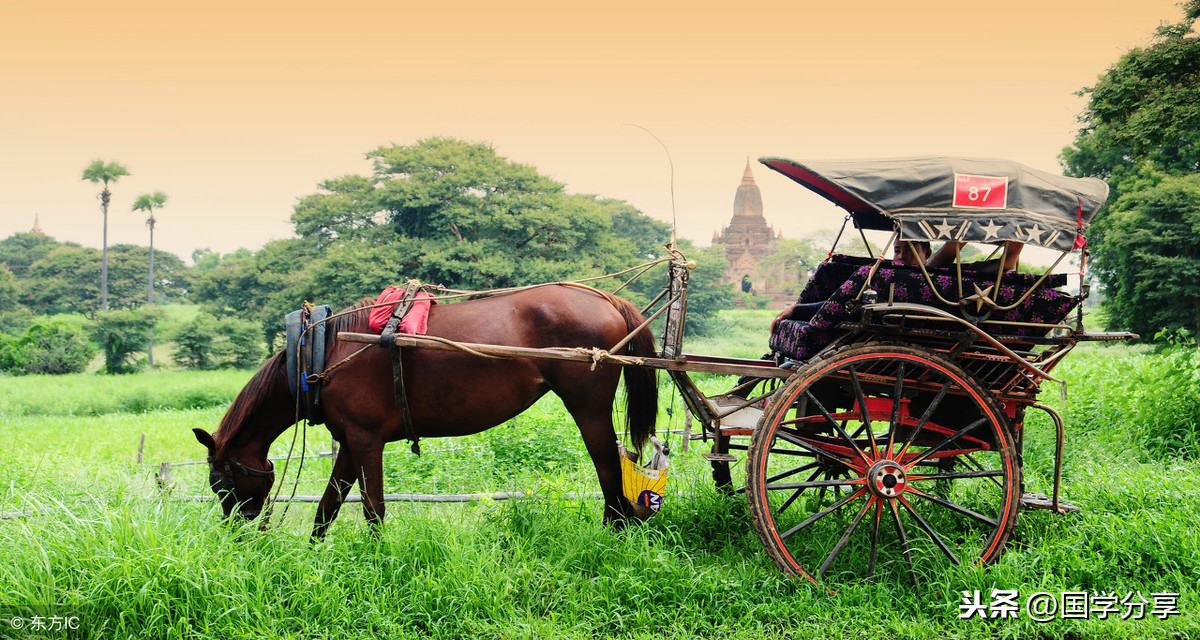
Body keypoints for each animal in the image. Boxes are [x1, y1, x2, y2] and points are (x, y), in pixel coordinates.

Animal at [190, 284, 657, 533]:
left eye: (221, 486)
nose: (237, 533)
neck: (320, 355)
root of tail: (604, 298)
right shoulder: (349, 442)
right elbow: (327, 507)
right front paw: (311, 561)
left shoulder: (365, 440)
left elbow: (373, 509)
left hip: (588, 407)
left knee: (607, 467)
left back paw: (614, 531)